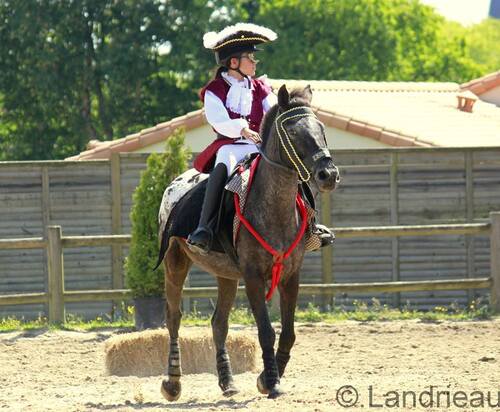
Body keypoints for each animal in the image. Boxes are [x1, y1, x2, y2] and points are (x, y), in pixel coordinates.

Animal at [156, 83, 340, 400]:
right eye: (292, 132)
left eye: (321, 128)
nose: (328, 174)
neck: (273, 206)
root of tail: (176, 183)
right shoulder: (253, 275)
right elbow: (266, 330)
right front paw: (272, 381)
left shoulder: (290, 275)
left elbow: (288, 332)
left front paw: (267, 378)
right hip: (175, 263)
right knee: (174, 317)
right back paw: (173, 383)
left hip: (227, 275)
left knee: (219, 323)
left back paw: (227, 382)